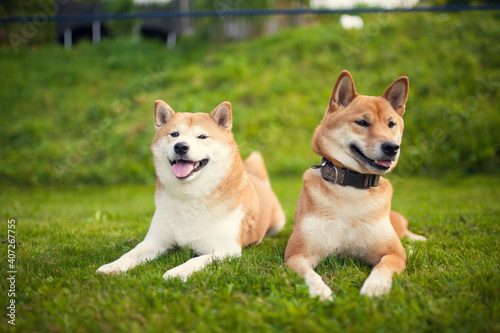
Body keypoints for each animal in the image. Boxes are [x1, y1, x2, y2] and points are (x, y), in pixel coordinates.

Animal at [97, 100, 286, 278]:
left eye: (202, 136)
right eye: (174, 134)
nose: (180, 146)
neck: (189, 197)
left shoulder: (226, 250)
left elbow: (197, 259)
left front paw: (176, 272)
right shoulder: (154, 241)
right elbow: (131, 253)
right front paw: (113, 266)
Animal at [286, 71, 426, 300]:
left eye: (391, 124)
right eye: (361, 122)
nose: (392, 147)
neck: (351, 188)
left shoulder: (393, 253)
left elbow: (383, 267)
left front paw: (375, 287)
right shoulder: (297, 255)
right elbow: (310, 275)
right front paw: (320, 292)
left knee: (406, 233)